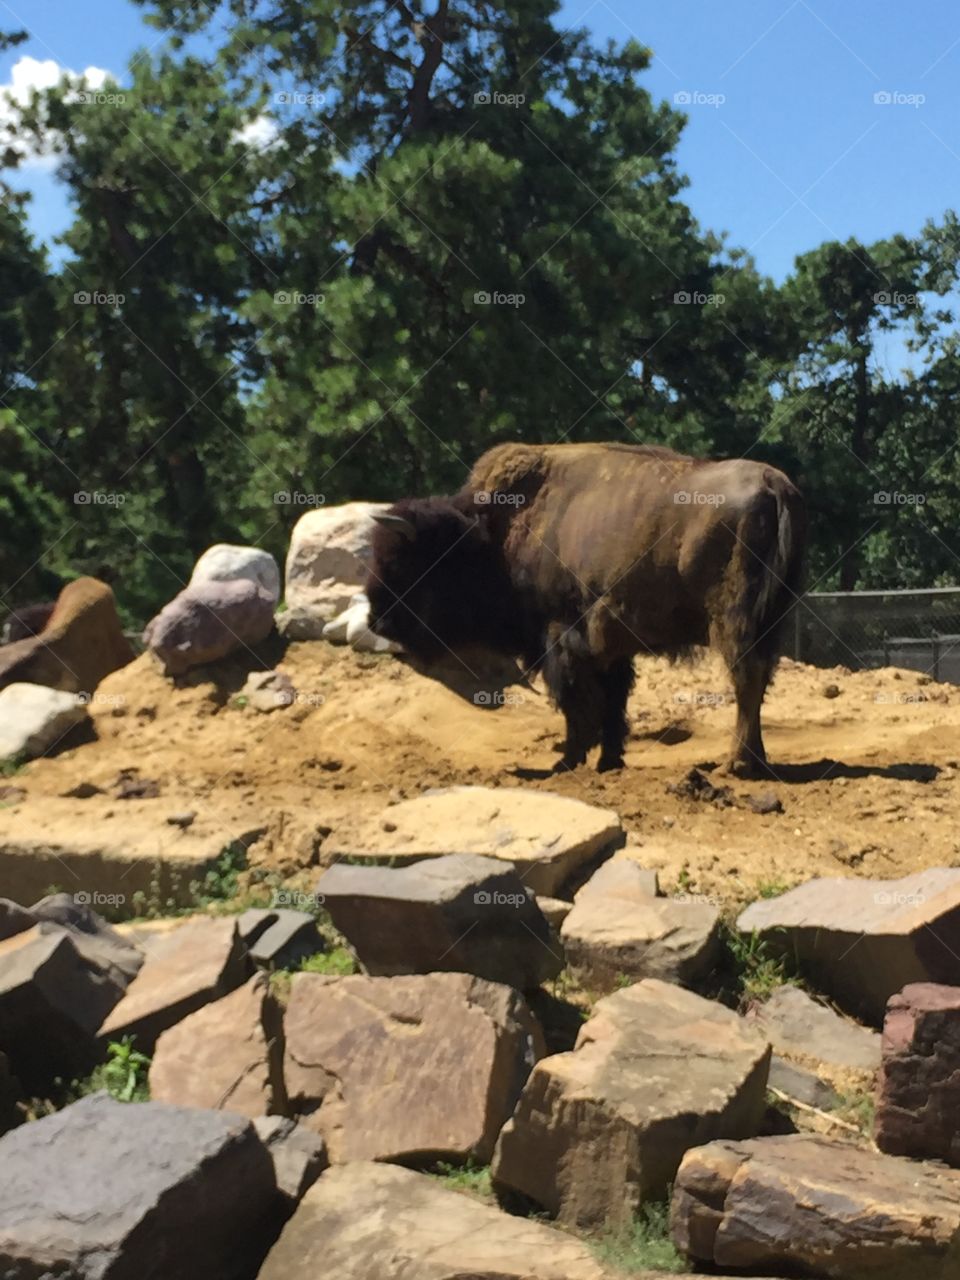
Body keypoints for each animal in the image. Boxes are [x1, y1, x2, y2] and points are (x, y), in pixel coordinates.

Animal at [366, 441, 805, 777]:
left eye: (402, 563)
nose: (377, 620)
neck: (494, 535)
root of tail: (772, 483)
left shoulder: (561, 638)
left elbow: (576, 702)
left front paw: (567, 761)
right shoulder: (611, 649)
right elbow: (612, 703)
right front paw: (609, 761)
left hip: (733, 623)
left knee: (746, 680)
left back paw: (737, 764)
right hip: (769, 622)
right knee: (759, 682)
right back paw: (757, 760)